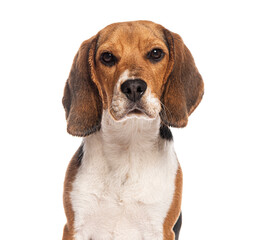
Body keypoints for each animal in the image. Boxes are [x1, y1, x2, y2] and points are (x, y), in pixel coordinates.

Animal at [63, 20, 205, 240]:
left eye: (156, 53)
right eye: (107, 57)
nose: (133, 87)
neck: (129, 142)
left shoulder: (160, 229)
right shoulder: (74, 227)